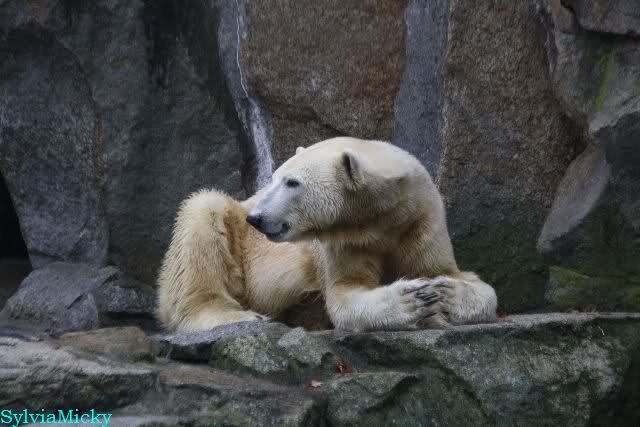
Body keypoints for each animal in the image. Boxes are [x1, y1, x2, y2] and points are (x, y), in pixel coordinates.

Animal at [156, 137, 497, 332]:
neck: (383, 216)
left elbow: (454, 275)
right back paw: (239, 317)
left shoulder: (421, 220)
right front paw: (414, 300)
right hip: (234, 236)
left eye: (292, 182)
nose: (256, 218)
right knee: (202, 214)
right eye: (274, 177)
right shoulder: (344, 241)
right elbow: (346, 293)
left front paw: (446, 293)